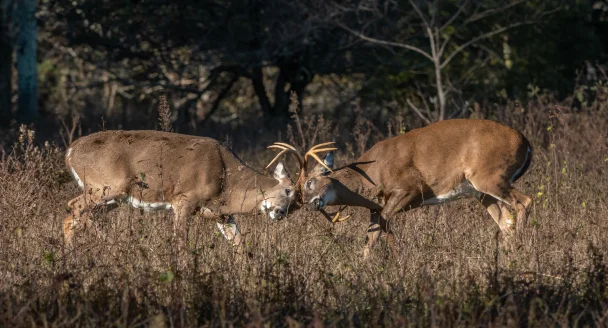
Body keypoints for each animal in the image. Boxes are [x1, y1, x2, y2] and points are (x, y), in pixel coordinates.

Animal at [64, 130, 314, 246]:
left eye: (296, 206)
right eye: (288, 191)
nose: (279, 213)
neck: (226, 178)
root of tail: (70, 151)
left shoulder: (221, 213)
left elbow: (238, 243)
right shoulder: (184, 199)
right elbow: (180, 240)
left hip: (112, 197)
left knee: (75, 216)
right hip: (105, 186)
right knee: (73, 208)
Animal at [268, 119, 532, 258]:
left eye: (309, 182)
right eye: (298, 195)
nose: (312, 204)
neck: (370, 177)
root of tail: (525, 141)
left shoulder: (410, 189)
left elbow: (383, 224)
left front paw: (397, 257)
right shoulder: (376, 206)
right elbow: (373, 234)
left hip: (491, 175)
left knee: (525, 202)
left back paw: (521, 250)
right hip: (482, 192)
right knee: (506, 220)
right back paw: (507, 255)